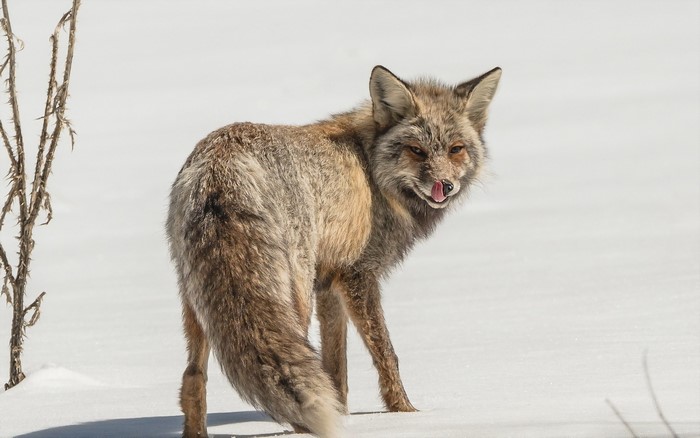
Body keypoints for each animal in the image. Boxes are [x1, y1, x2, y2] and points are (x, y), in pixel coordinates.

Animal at [166, 65, 501, 437]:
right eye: (416, 150)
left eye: (456, 149)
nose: (445, 186)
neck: (372, 173)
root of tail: (219, 164)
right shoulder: (358, 275)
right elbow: (386, 354)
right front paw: (405, 414)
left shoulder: (328, 284)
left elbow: (334, 366)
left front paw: (344, 415)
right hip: (293, 296)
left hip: (199, 300)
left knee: (193, 376)